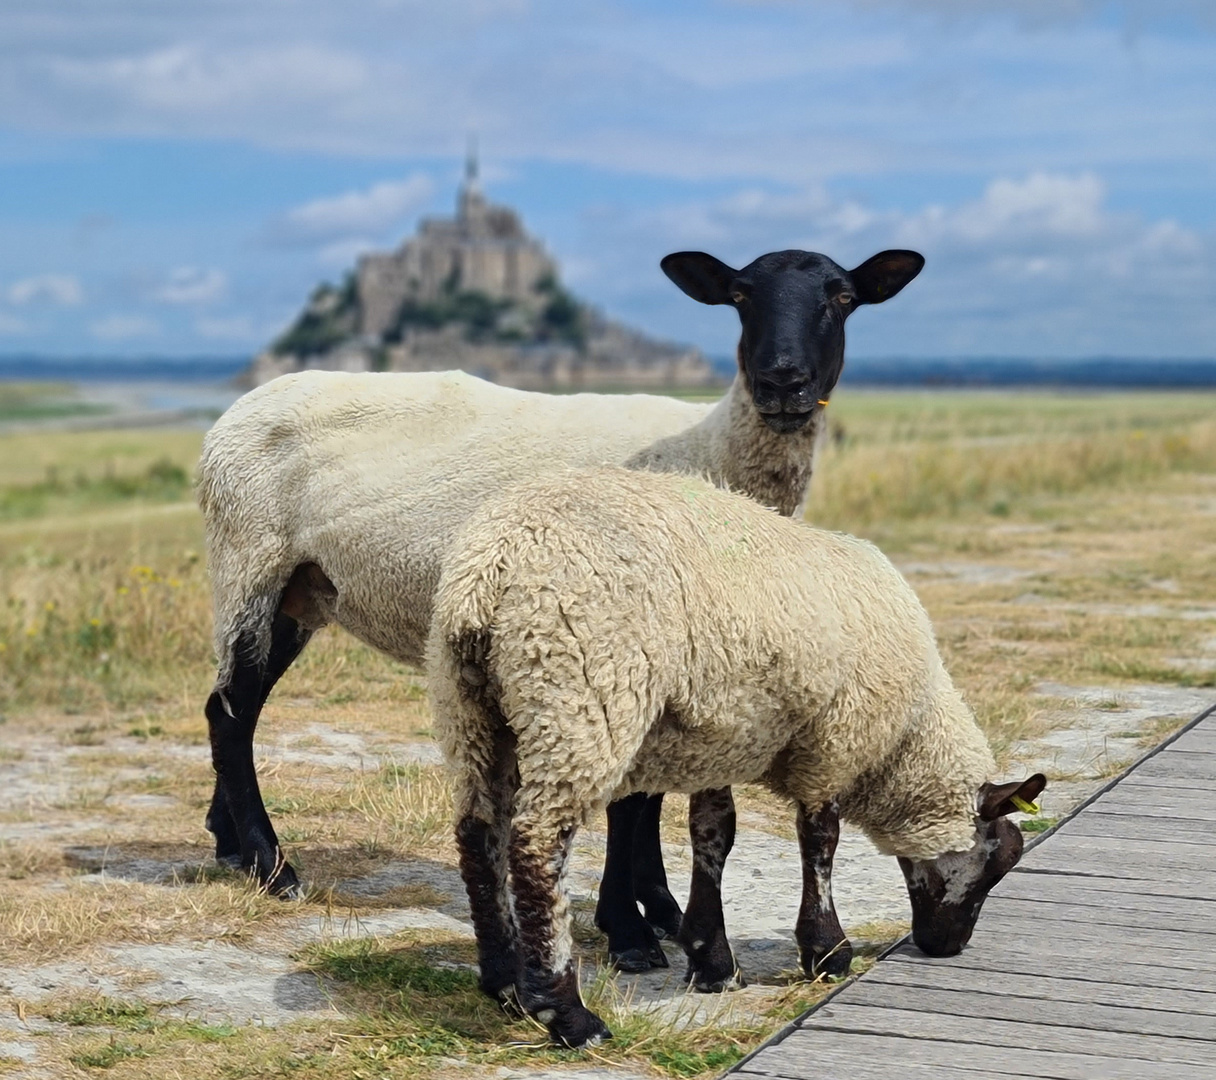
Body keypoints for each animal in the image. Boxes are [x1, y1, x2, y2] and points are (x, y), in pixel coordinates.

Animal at [428, 464, 1045, 1045]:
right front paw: (827, 950)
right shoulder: (832, 740)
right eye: (1000, 860)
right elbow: (820, 840)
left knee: (479, 832)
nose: (948, 947)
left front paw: (712, 959)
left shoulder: (720, 736)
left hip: (473, 708)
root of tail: (490, 572)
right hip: (578, 692)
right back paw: (567, 1014)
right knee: (536, 844)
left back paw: (503, 981)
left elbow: (713, 835)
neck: (903, 740)